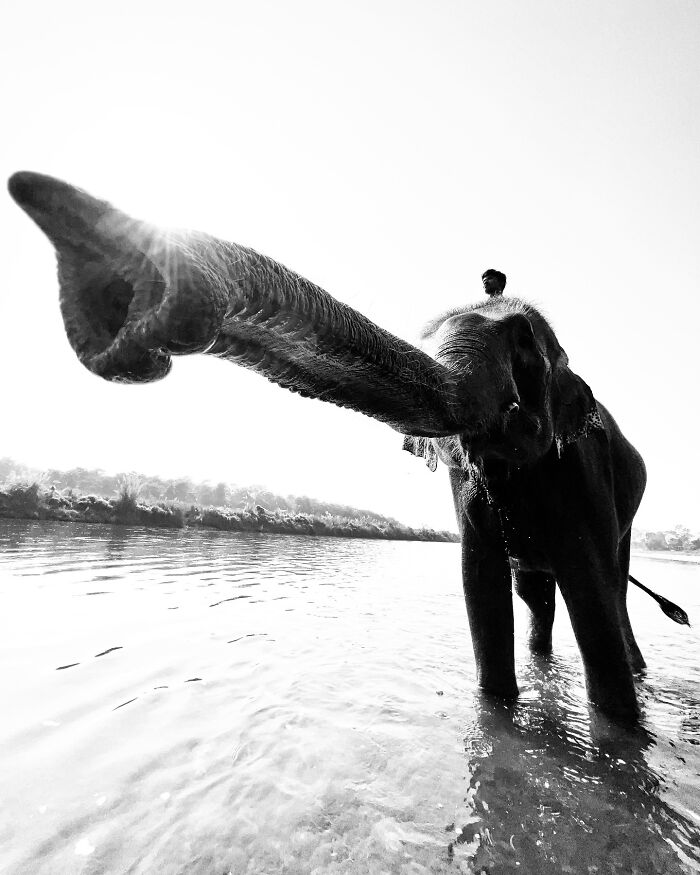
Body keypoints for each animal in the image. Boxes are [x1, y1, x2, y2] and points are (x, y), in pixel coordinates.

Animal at [7, 171, 683, 721]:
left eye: (524, 347)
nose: (121, 291)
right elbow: (481, 590)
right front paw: (496, 711)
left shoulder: (582, 477)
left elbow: (589, 591)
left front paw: (623, 726)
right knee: (537, 595)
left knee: (613, 590)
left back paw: (636, 666)